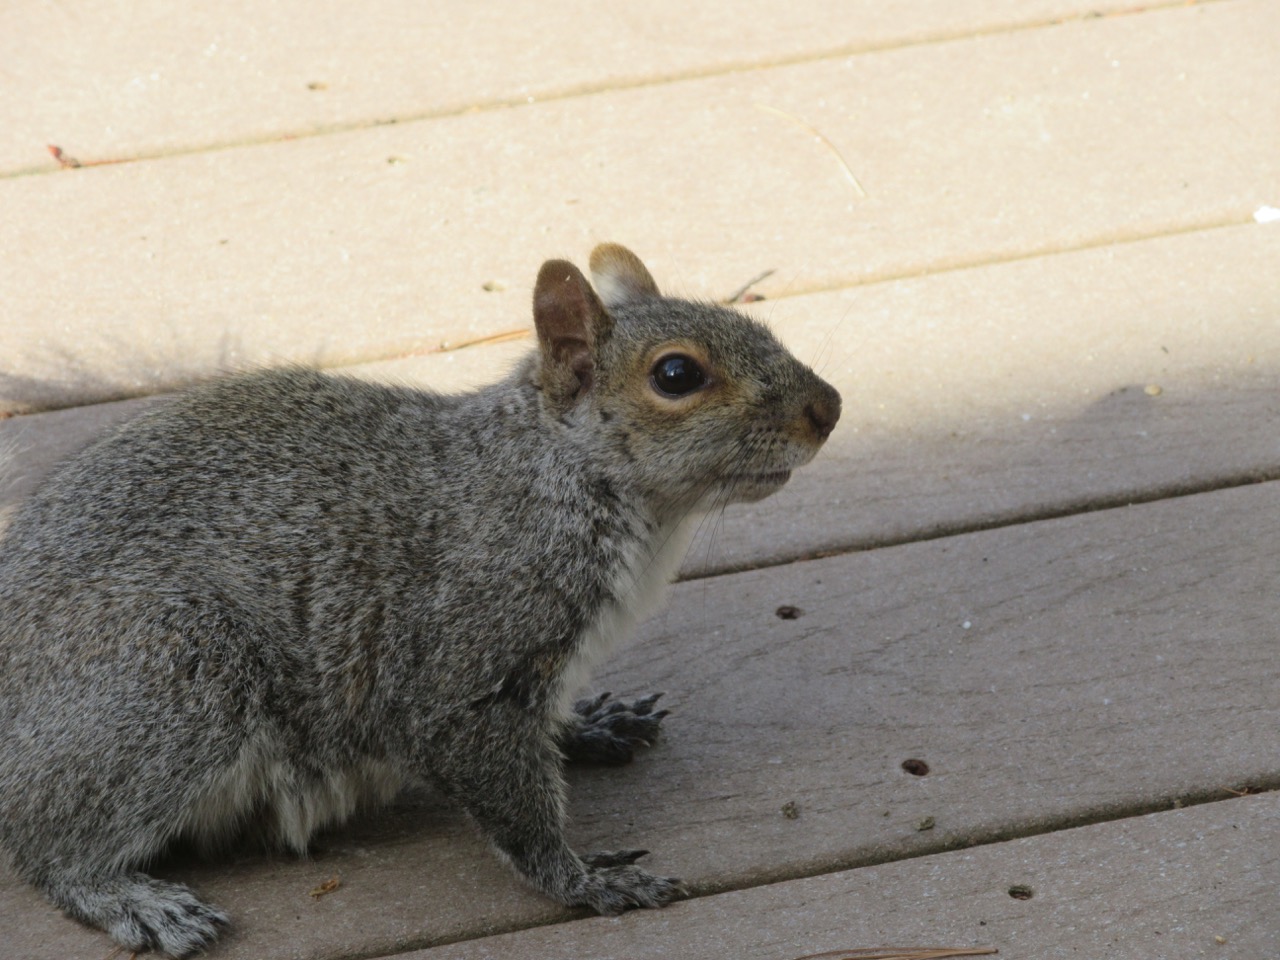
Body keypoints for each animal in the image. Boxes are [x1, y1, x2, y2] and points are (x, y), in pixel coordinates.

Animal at [0, 243, 841, 958]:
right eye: (675, 376)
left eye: (761, 326)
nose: (828, 408)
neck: (561, 477)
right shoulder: (468, 662)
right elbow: (504, 792)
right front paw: (582, 879)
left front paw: (592, 725)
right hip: (170, 677)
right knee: (46, 841)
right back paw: (126, 897)